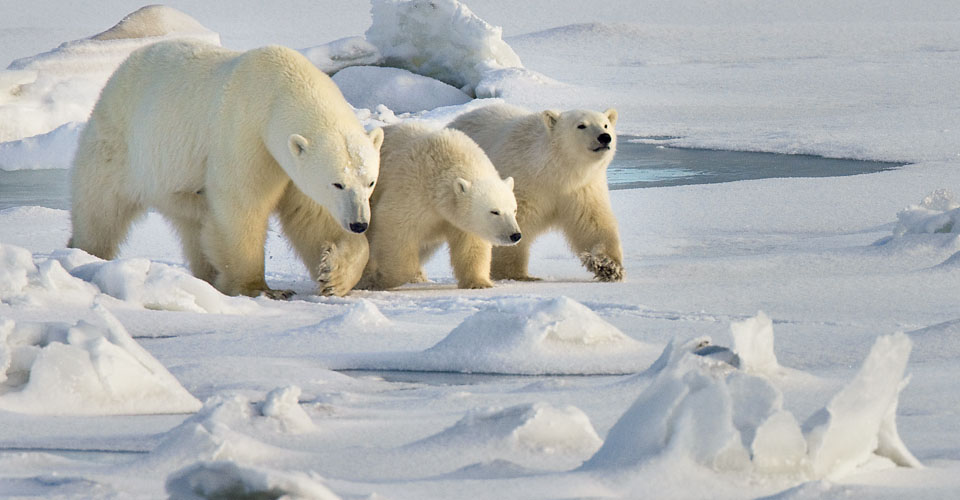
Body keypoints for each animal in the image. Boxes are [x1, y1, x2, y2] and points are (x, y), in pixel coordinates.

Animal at [68, 39, 384, 298]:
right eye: (337, 183)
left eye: (369, 182)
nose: (359, 223)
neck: (280, 88)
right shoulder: (246, 133)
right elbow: (242, 204)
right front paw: (259, 288)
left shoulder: (291, 165)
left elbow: (313, 216)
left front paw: (335, 275)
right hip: (119, 143)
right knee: (101, 209)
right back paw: (85, 254)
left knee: (194, 224)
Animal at [356, 122, 521, 290]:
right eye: (494, 211)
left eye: (514, 210)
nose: (515, 235)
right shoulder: (410, 190)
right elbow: (395, 228)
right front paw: (381, 279)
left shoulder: (458, 219)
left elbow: (471, 245)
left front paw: (479, 283)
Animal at [448, 103, 624, 282]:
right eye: (581, 125)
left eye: (605, 124)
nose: (605, 137)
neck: (554, 171)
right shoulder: (524, 182)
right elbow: (516, 220)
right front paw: (513, 274)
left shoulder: (582, 189)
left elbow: (593, 222)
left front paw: (607, 265)